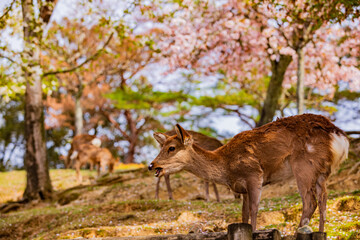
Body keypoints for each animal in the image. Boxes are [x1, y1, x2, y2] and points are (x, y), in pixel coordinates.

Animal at [148, 114, 348, 232]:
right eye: (162, 146)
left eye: (172, 148)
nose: (151, 165)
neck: (226, 167)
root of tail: (339, 137)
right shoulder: (242, 188)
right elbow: (243, 214)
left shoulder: (254, 174)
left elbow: (253, 210)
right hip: (323, 171)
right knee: (323, 200)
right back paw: (321, 232)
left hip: (304, 165)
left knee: (310, 201)